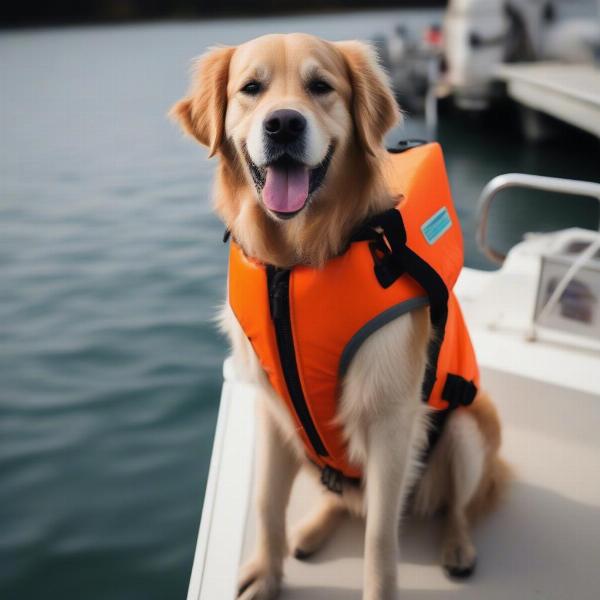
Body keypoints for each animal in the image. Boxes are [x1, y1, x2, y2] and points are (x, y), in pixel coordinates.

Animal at [171, 32, 508, 600]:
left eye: (321, 86)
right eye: (251, 89)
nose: (284, 124)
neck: (295, 262)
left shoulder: (391, 419)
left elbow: (379, 538)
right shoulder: (271, 411)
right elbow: (266, 502)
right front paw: (266, 573)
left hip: (466, 428)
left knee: (458, 507)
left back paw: (457, 547)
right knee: (340, 498)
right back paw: (310, 531)